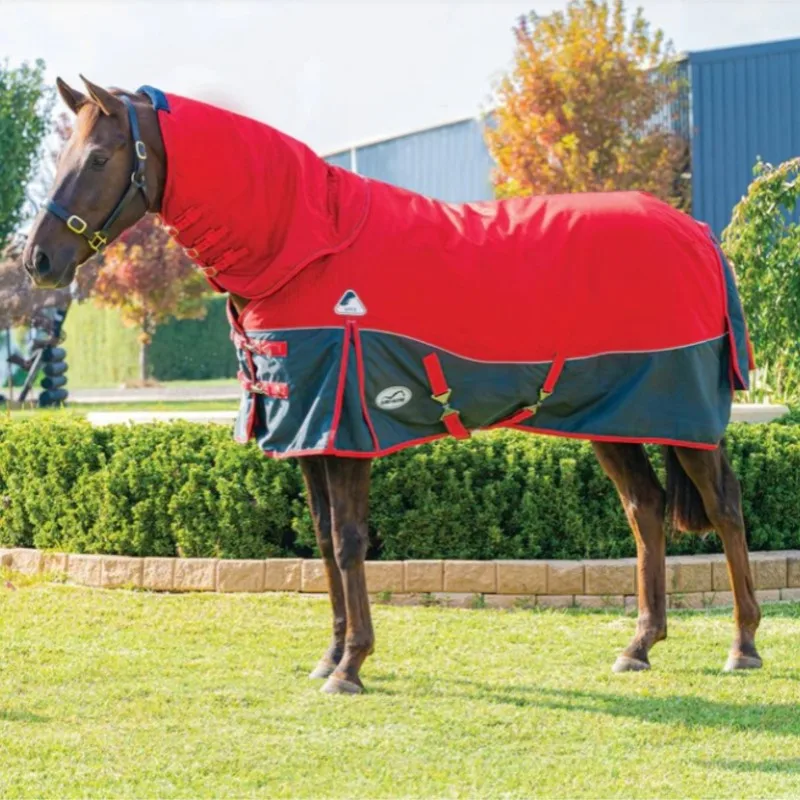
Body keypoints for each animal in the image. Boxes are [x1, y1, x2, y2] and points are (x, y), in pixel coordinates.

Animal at [22, 77, 762, 695]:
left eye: (98, 158)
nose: (38, 261)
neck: (305, 248)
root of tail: (697, 232)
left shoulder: (345, 425)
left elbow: (351, 540)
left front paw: (350, 667)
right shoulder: (309, 432)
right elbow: (324, 540)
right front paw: (330, 654)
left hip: (684, 418)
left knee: (724, 507)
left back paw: (743, 645)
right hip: (613, 417)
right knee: (645, 510)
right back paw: (640, 645)